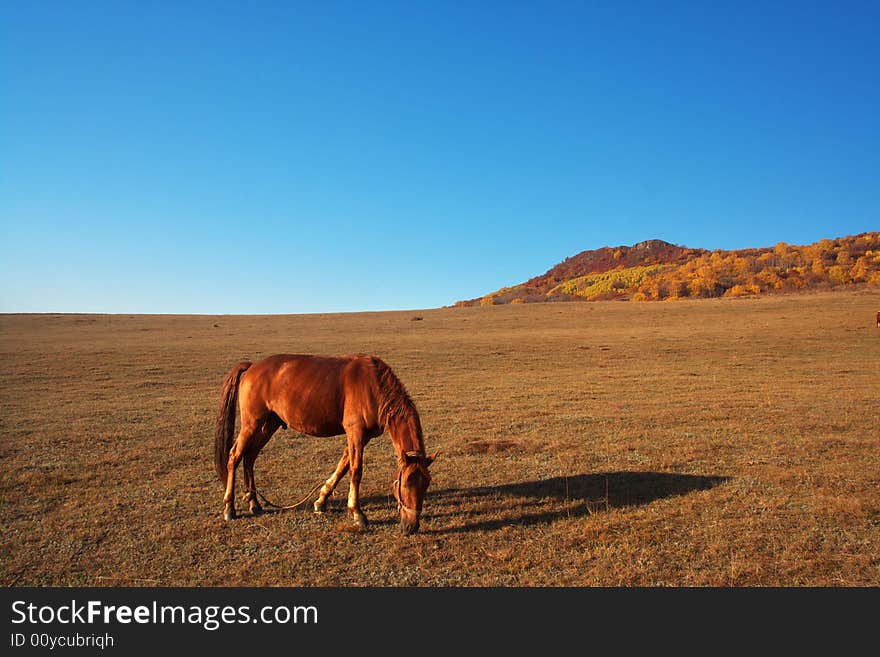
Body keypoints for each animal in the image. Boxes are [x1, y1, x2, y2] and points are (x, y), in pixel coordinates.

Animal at [217, 354, 436, 532]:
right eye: (406, 484)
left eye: (426, 483)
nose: (412, 526)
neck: (374, 387)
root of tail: (252, 367)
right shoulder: (355, 432)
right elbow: (356, 470)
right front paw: (357, 514)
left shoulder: (361, 437)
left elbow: (343, 466)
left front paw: (321, 500)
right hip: (252, 424)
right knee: (235, 456)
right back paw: (229, 507)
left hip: (269, 424)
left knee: (250, 457)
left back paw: (254, 502)